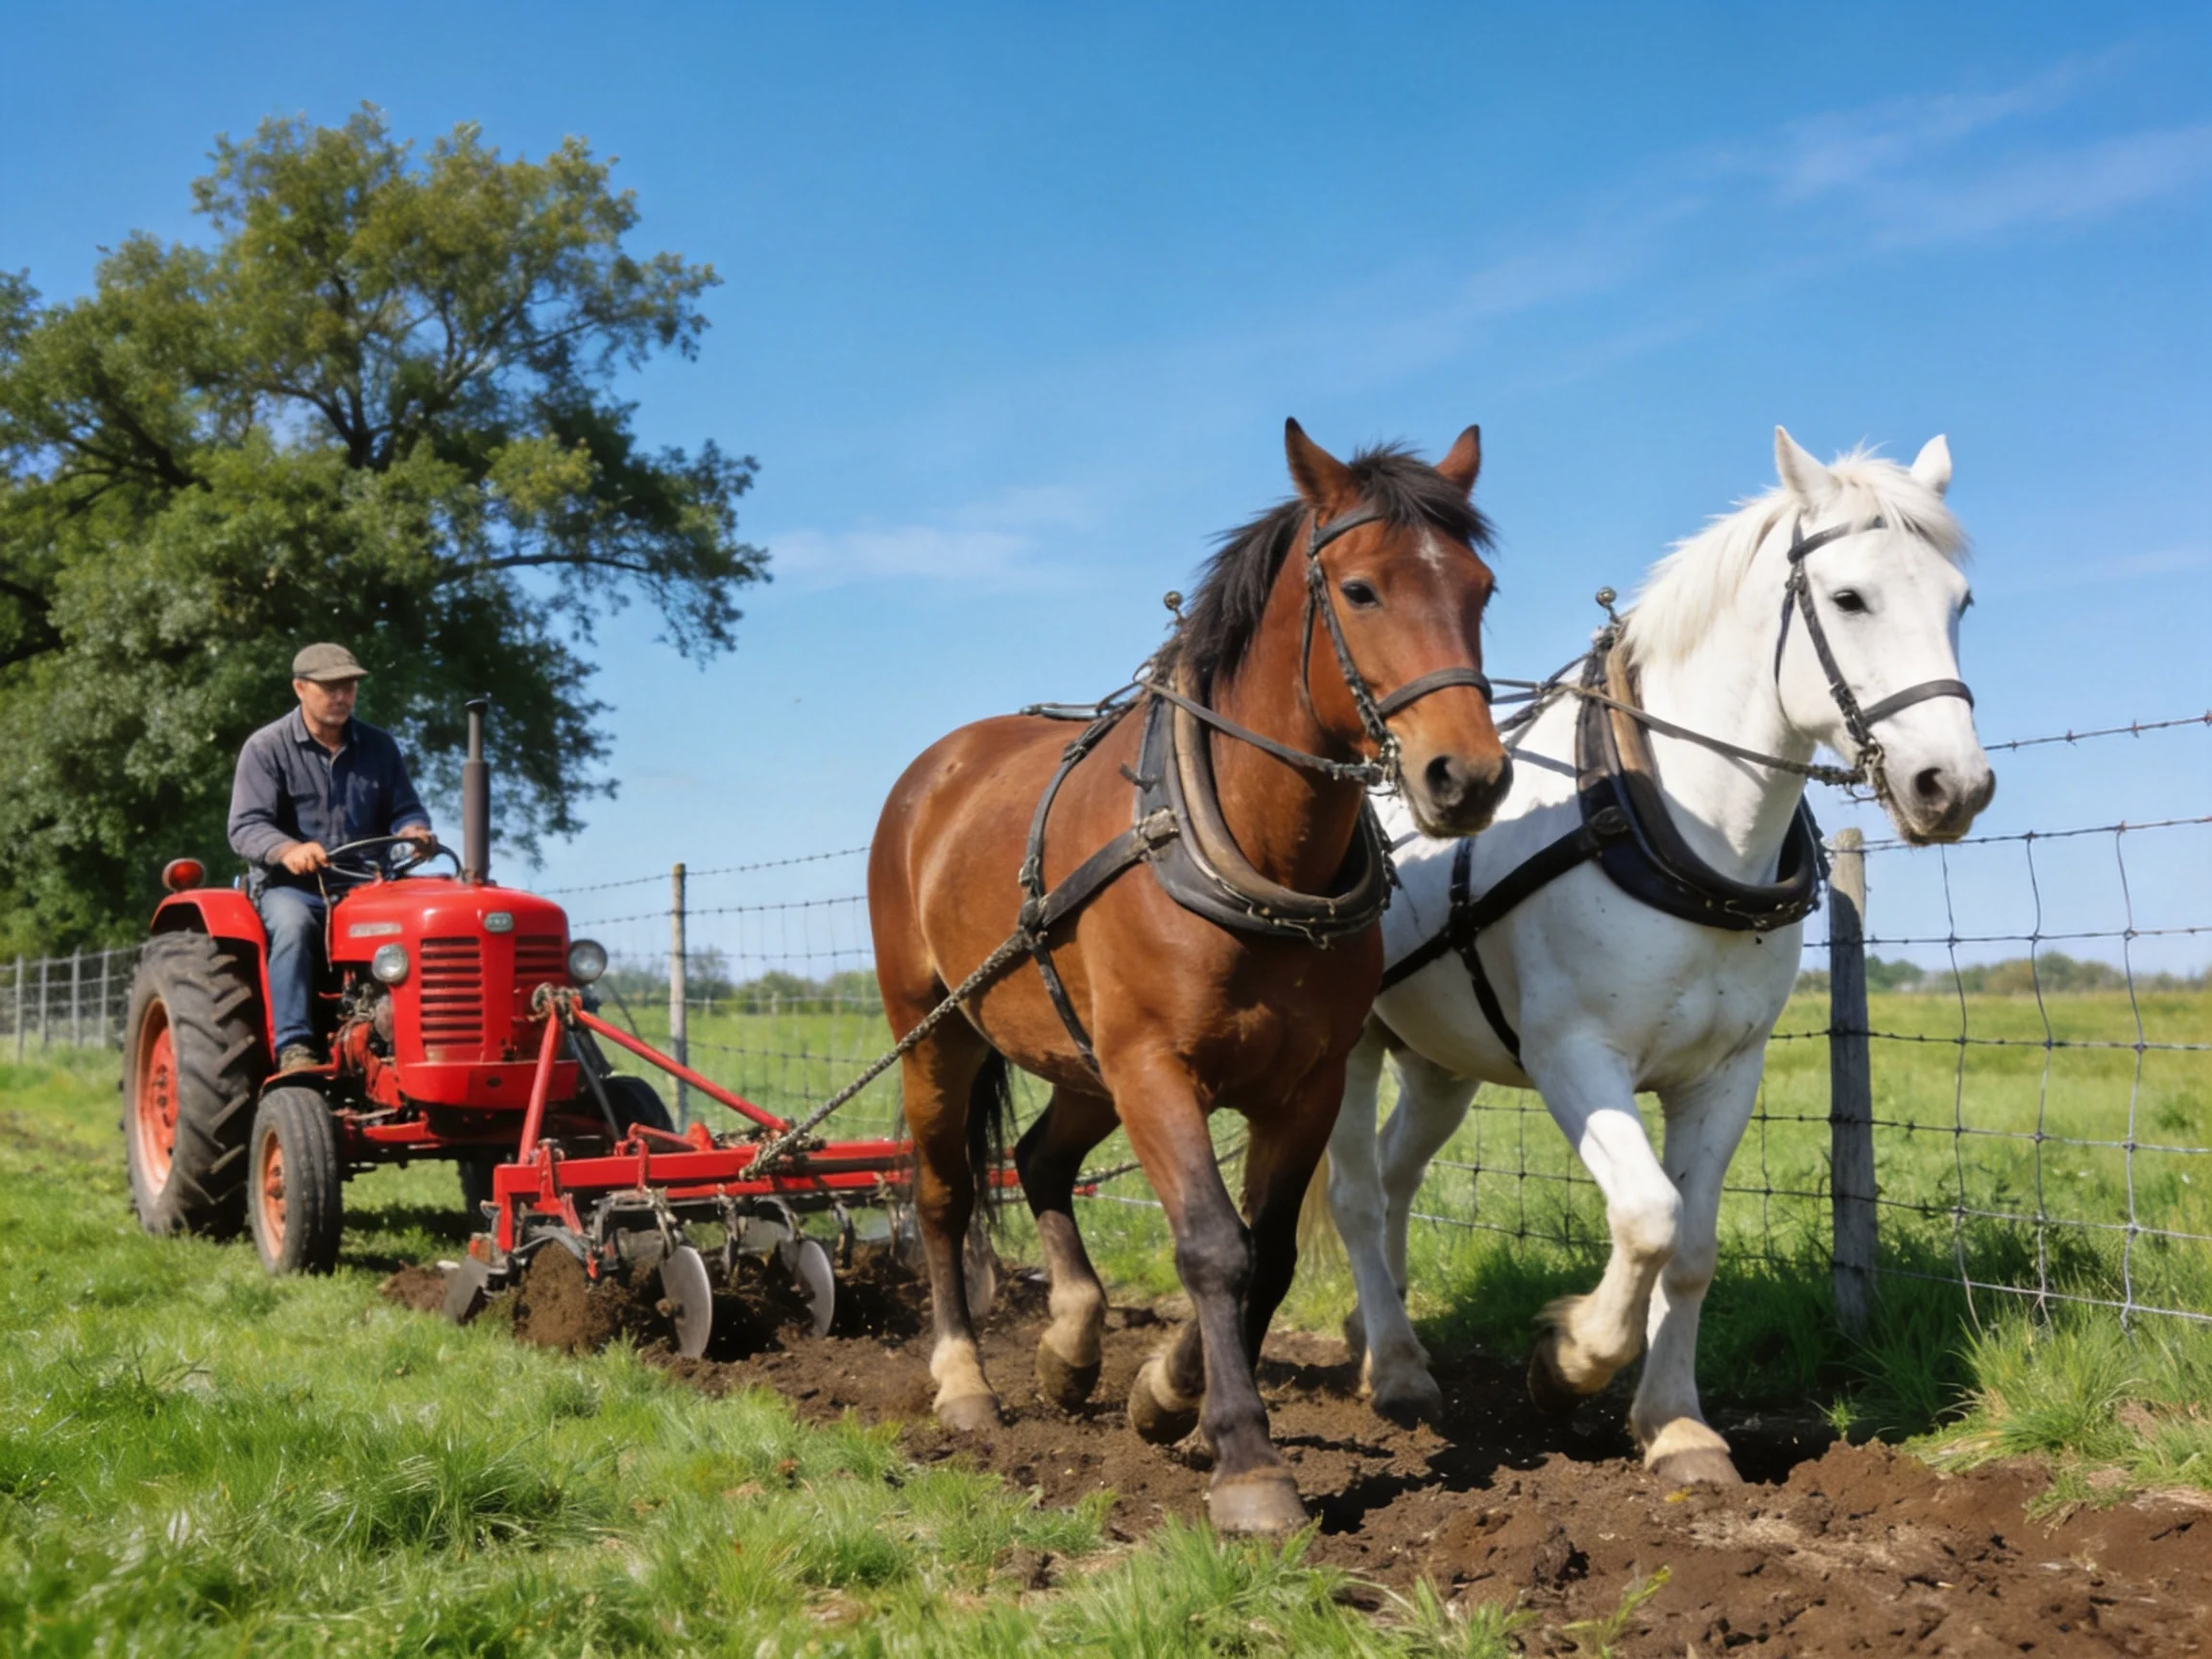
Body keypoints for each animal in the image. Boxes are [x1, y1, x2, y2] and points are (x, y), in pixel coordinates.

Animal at [868, 421, 1512, 1533]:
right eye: (1359, 590)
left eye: (1480, 589)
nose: (1467, 777)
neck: (1248, 851)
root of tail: (937, 767)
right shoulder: (1157, 1068)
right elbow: (1214, 1245)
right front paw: (1248, 1463)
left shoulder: (1306, 1083)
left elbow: (1272, 1252)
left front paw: (1169, 1394)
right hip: (940, 1033)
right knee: (944, 1191)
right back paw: (962, 1381)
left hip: (1081, 1059)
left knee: (1038, 1158)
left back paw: (1072, 1343)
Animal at [1321, 428, 1995, 1486]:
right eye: (1850, 598)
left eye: (1960, 602)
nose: (1954, 786)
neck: (1679, 826)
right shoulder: (1575, 1058)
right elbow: (1647, 1217)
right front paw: (1567, 1360)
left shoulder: (1724, 1073)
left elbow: (1695, 1246)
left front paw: (1677, 1425)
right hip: (1350, 1045)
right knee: (1353, 1193)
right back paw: (1393, 1369)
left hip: (1438, 1063)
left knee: (1396, 1175)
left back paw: (1375, 1331)